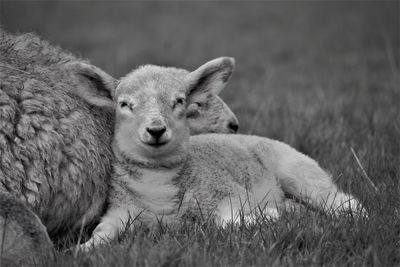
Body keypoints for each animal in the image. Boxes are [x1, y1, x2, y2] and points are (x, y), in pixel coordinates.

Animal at [76, 57, 364, 251]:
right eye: (124, 104)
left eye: (180, 101)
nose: (156, 130)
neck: (159, 190)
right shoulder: (119, 211)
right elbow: (102, 231)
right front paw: (83, 250)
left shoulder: (228, 194)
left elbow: (230, 222)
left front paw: (267, 216)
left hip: (300, 172)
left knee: (342, 201)